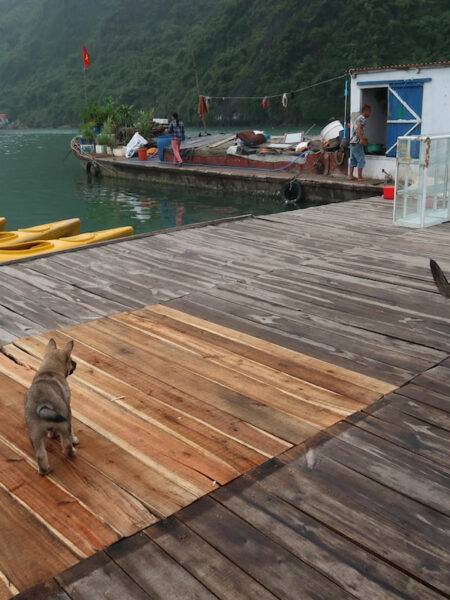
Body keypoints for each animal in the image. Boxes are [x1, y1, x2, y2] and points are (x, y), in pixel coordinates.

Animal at [24, 340, 78, 476]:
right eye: (70, 360)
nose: (76, 363)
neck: (49, 371)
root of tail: (43, 404)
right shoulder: (68, 410)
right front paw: (73, 438)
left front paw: (51, 434)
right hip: (64, 424)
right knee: (66, 445)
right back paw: (72, 452)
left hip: (35, 434)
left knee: (40, 455)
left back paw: (44, 470)